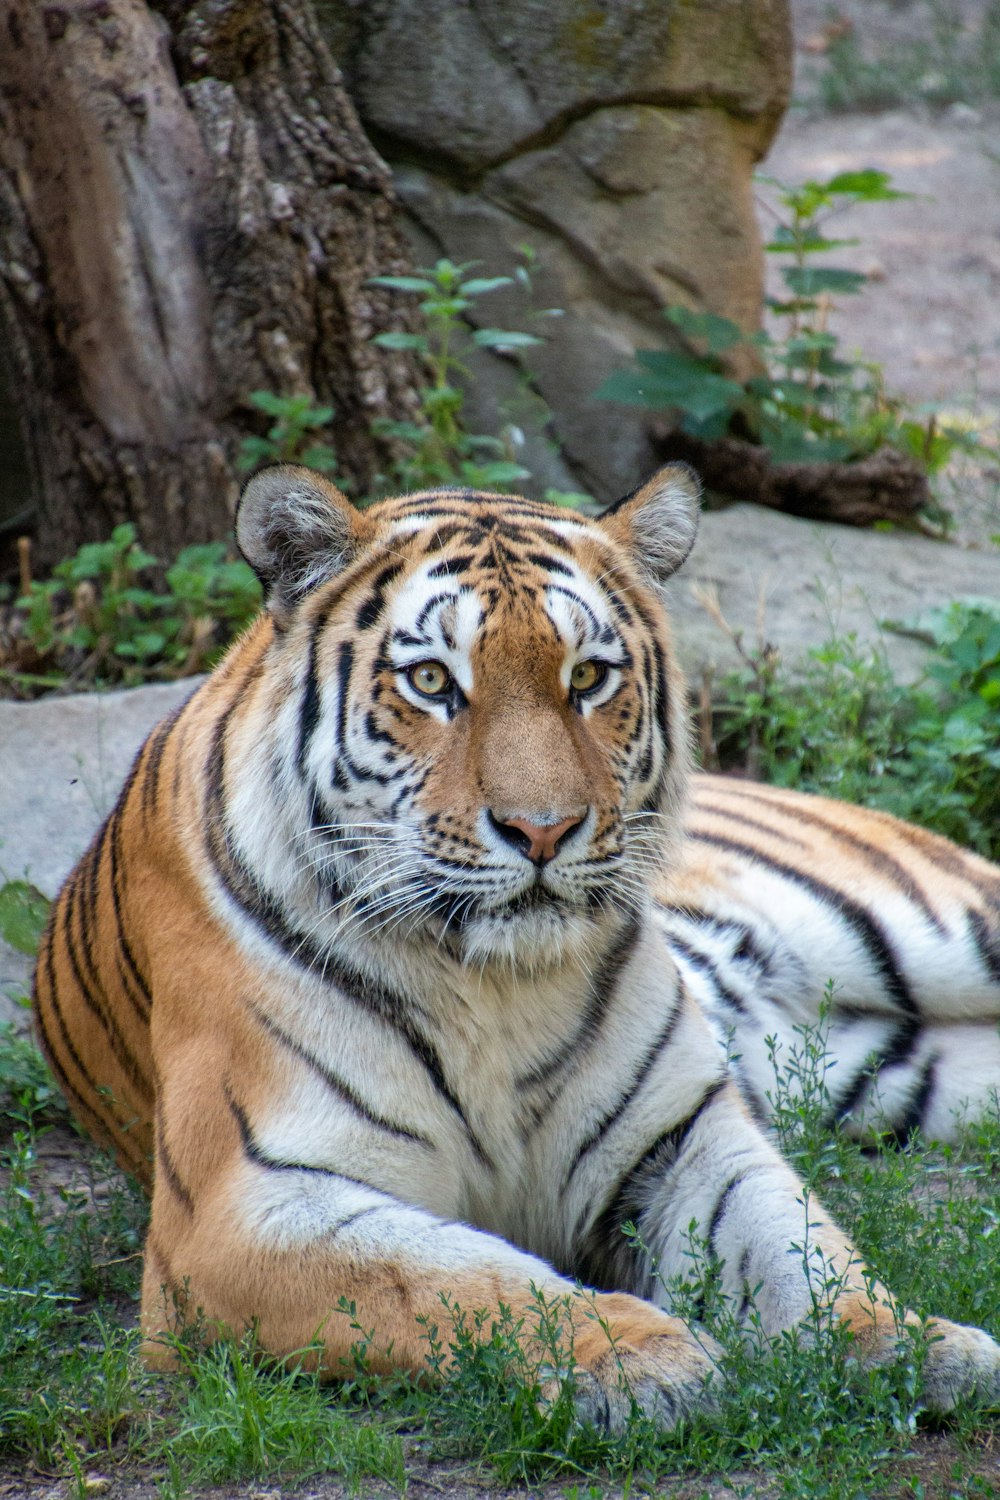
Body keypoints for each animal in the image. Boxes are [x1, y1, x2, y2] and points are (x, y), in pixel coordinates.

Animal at [31, 468, 1000, 1428]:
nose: (544, 830)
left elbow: (799, 1249)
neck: (495, 988)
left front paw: (913, 1342)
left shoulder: (683, 1135)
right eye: (431, 680)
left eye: (590, 678)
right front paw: (643, 1361)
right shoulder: (240, 1211)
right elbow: (466, 1281)